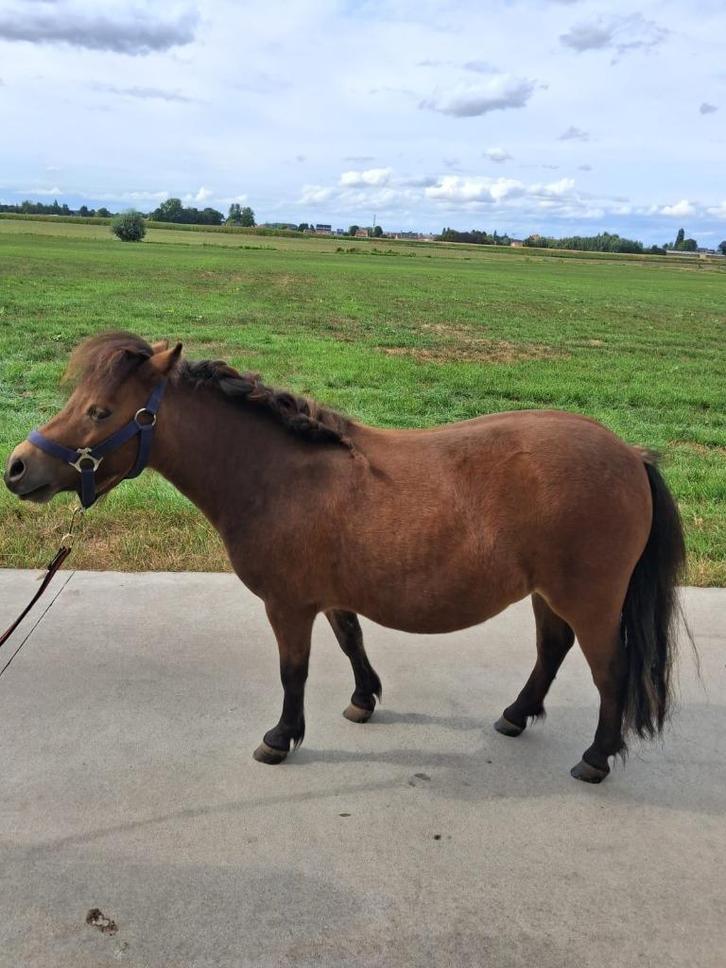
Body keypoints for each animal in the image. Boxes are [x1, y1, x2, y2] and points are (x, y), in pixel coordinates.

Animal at [4, 332, 687, 783]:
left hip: (590, 599)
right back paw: (516, 716)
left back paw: (595, 759)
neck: (278, 475)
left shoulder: (287, 605)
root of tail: (630, 454)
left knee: (609, 672)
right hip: (548, 592)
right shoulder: (329, 596)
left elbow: (294, 671)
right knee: (551, 650)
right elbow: (351, 641)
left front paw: (281, 737)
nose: (17, 467)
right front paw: (363, 700)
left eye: (99, 411)